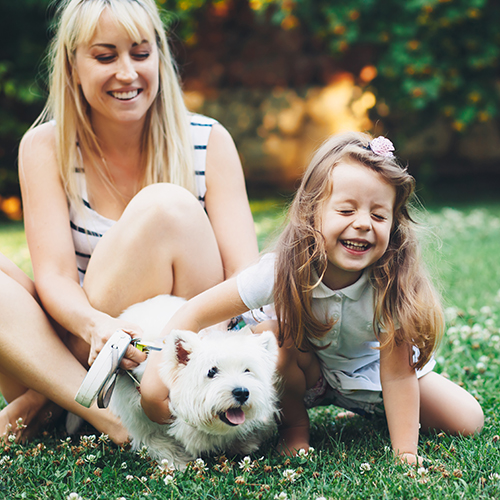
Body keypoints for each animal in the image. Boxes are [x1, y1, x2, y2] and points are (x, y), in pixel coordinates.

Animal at [110, 294, 280, 466]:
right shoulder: (143, 422)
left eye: (247, 370)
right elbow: (161, 445)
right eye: (212, 371)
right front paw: (178, 464)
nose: (242, 393)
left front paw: (245, 444)